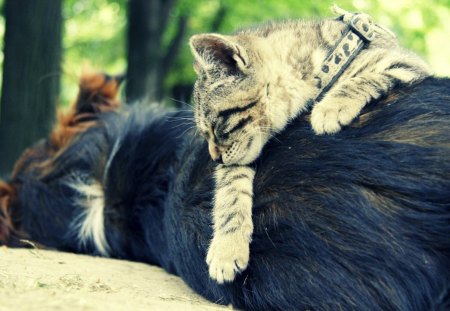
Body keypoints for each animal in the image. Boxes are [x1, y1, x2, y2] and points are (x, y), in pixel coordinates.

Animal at [188, 7, 430, 286]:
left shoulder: (404, 63)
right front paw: (227, 246)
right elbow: (231, 186)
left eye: (216, 127)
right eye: (205, 134)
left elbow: (368, 77)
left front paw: (333, 105)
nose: (215, 158)